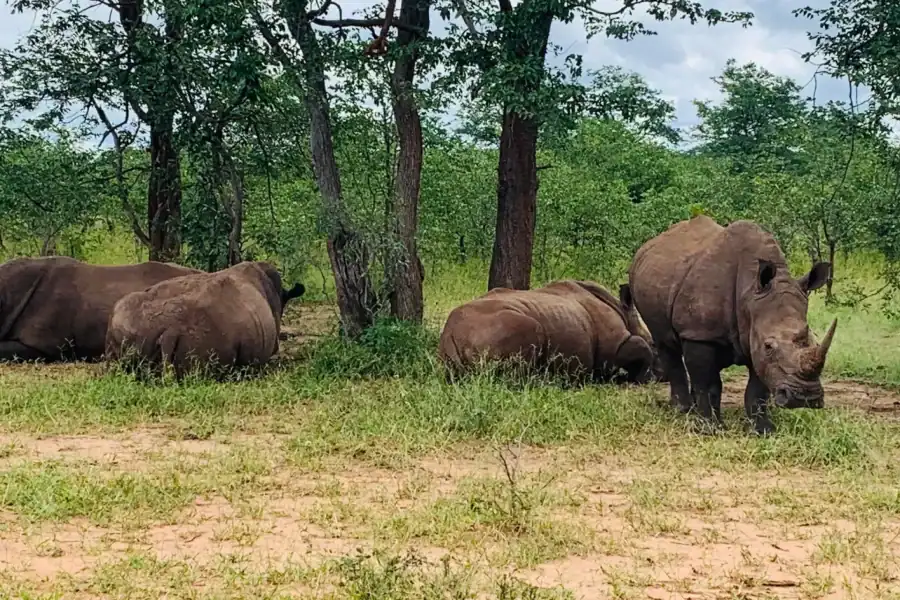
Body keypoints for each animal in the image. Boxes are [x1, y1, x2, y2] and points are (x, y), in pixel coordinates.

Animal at [438, 279, 661, 384]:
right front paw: (644, 378)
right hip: (499, 327)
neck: (624, 314)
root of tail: (451, 334)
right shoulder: (614, 347)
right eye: (655, 344)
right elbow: (640, 348)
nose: (663, 376)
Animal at [628, 215, 836, 435]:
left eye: (814, 341)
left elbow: (757, 389)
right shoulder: (699, 334)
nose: (805, 397)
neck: (750, 295)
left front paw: (763, 430)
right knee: (665, 342)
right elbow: (707, 382)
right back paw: (683, 410)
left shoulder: (754, 337)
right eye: (769, 346)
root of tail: (647, 247)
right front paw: (709, 428)